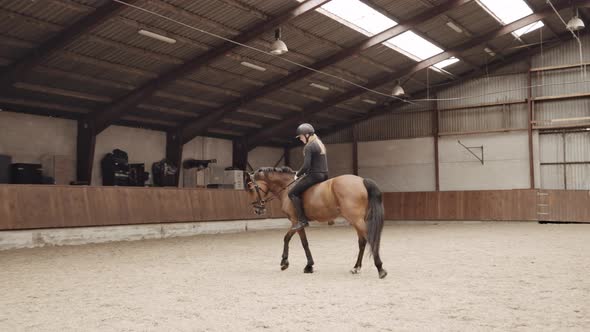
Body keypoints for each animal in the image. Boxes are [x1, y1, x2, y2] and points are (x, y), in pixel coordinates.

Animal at [245, 166, 388, 278]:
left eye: (251, 188)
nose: (257, 210)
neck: (287, 188)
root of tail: (362, 180)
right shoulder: (295, 223)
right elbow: (294, 240)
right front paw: (297, 264)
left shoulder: (296, 221)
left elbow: (297, 241)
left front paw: (294, 264)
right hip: (356, 220)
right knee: (362, 242)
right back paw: (356, 267)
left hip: (356, 219)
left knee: (369, 239)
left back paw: (380, 269)